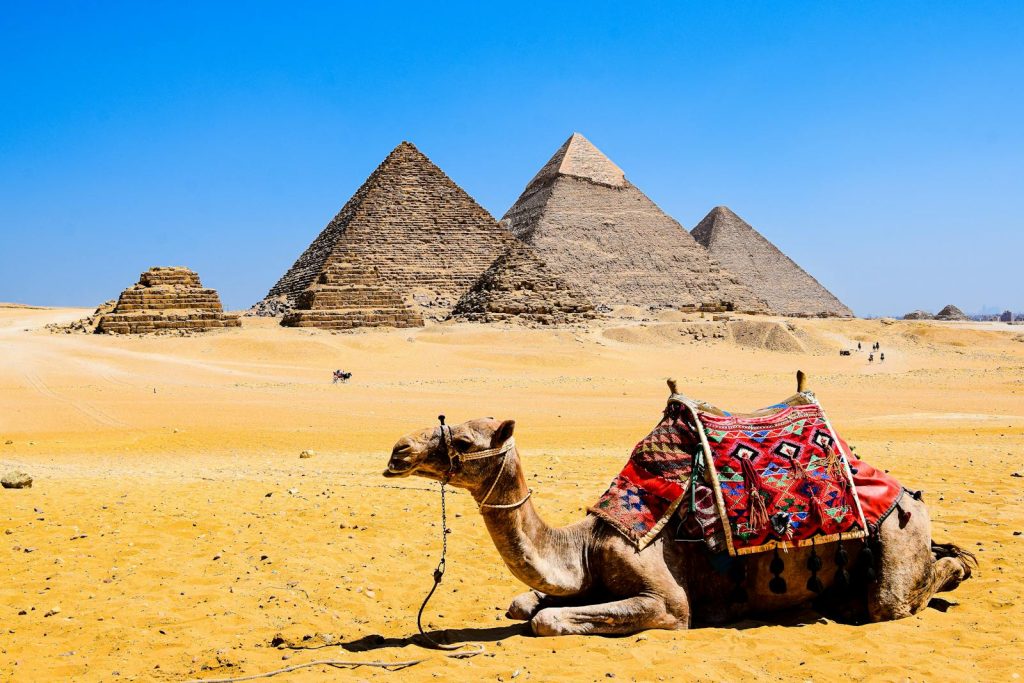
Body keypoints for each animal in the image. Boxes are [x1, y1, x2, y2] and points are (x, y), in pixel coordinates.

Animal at [383, 395, 974, 637]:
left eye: (462, 440)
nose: (398, 451)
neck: (581, 547)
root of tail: (908, 494)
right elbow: (523, 603)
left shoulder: (668, 603)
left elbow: (546, 620)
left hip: (898, 535)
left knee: (896, 597)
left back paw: (957, 569)